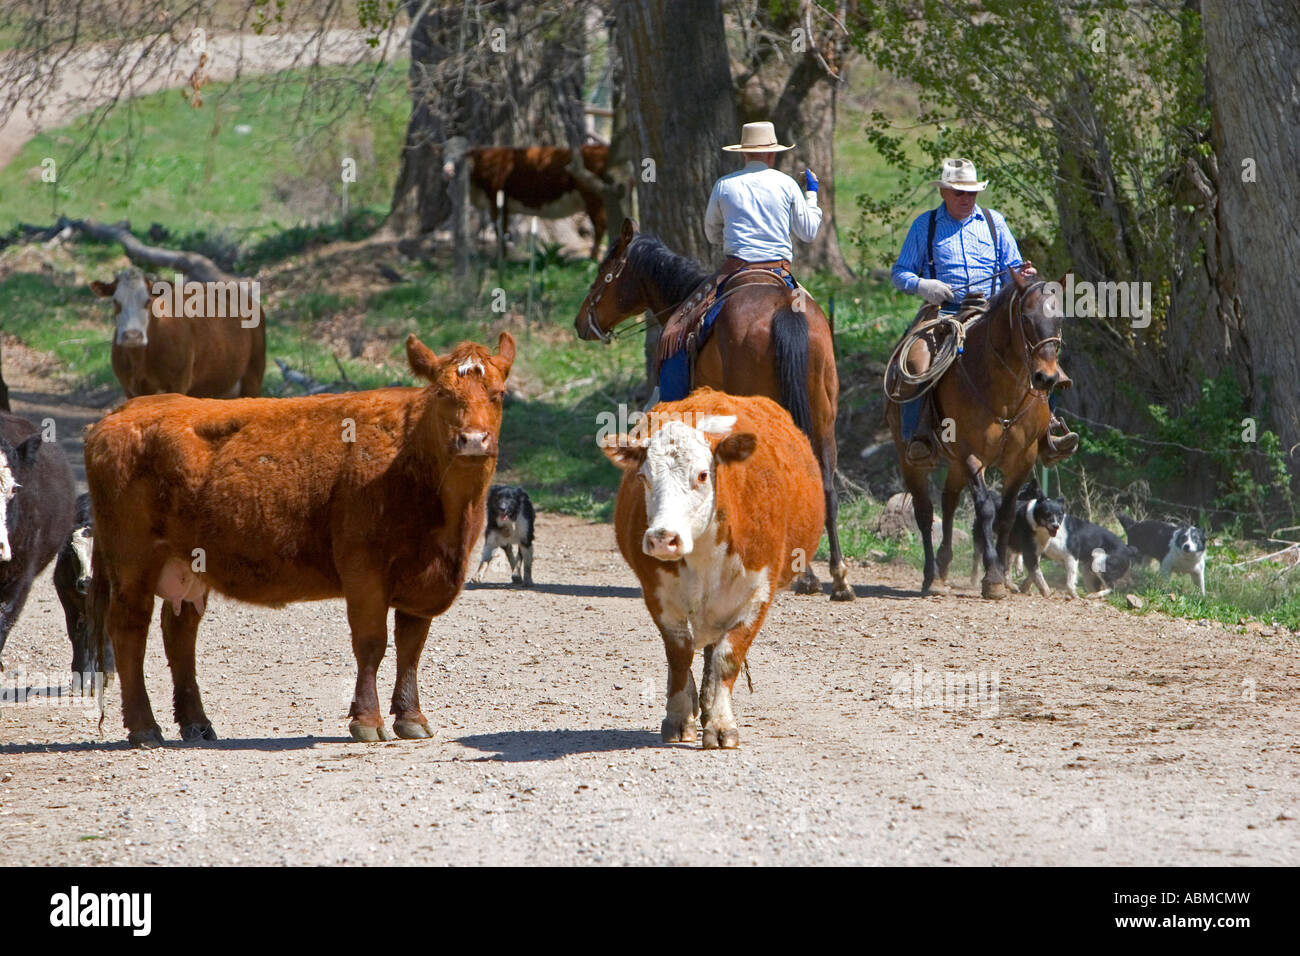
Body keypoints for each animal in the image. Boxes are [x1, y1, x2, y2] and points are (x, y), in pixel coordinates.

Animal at [79, 335, 517, 749]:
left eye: (499, 394)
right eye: (443, 393)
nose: (473, 440)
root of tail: (121, 412)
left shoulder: (423, 581)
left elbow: (411, 648)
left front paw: (411, 717)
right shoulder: (364, 569)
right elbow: (371, 644)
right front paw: (367, 720)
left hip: (188, 563)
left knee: (180, 635)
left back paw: (197, 724)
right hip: (132, 562)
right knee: (129, 631)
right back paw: (144, 727)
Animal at [89, 265, 266, 400]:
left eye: (147, 301)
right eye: (115, 301)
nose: (133, 336)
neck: (141, 359)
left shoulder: (178, 382)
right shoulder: (128, 388)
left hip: (253, 375)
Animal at [572, 221, 852, 600]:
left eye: (605, 272)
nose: (580, 323)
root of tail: (785, 309)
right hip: (824, 417)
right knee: (823, 486)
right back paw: (835, 578)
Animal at [598, 387, 821, 749]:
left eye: (703, 475)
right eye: (644, 476)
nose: (662, 539)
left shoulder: (757, 593)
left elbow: (727, 658)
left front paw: (720, 723)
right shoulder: (658, 594)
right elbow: (679, 654)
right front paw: (678, 717)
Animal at [883, 265, 1066, 598]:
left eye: (1059, 318)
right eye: (1025, 318)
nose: (1046, 378)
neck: (1003, 393)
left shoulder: (1023, 459)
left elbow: (1006, 515)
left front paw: (1004, 576)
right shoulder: (971, 453)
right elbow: (985, 511)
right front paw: (992, 577)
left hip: (954, 464)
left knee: (949, 502)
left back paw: (943, 566)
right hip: (910, 458)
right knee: (925, 512)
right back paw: (931, 577)